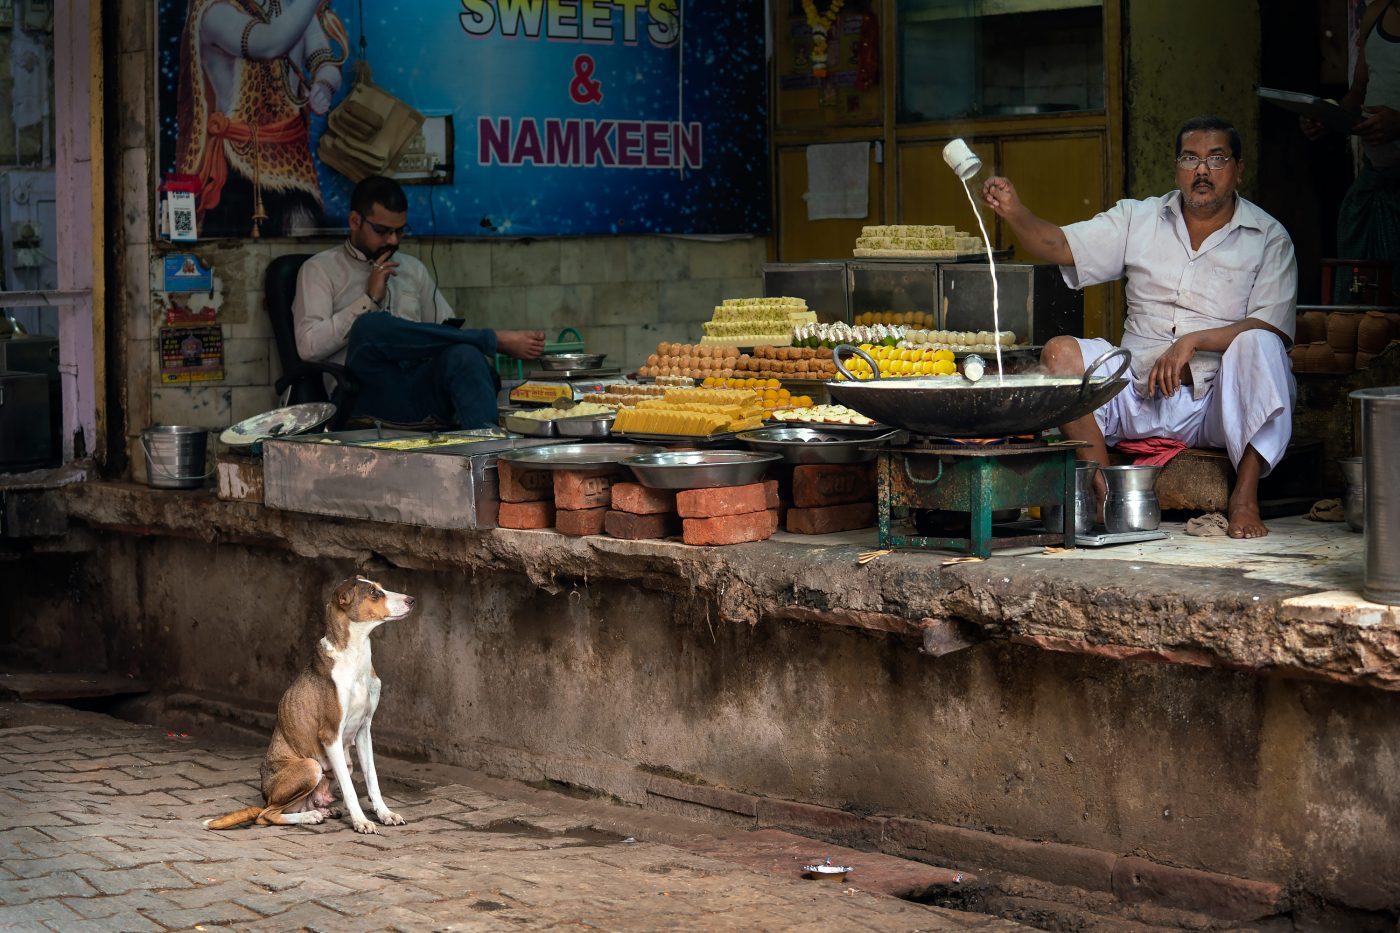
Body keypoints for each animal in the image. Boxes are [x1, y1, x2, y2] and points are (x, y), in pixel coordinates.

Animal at [204, 574, 414, 829]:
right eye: (374, 593)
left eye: (380, 587)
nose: (412, 599)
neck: (355, 658)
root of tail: (266, 796)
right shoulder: (330, 735)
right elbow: (350, 790)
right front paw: (360, 821)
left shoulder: (364, 730)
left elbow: (372, 779)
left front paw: (385, 814)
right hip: (311, 766)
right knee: (266, 815)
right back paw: (308, 816)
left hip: (342, 764)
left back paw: (320, 811)